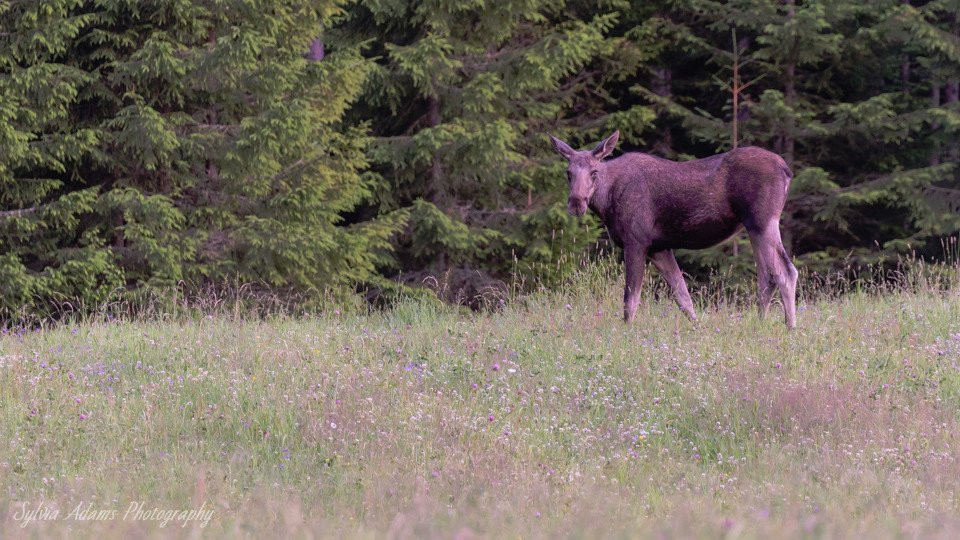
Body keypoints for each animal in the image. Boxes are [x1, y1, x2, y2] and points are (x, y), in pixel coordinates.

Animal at [552, 131, 800, 330]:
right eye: (568, 172)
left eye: (594, 172)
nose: (576, 203)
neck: (606, 202)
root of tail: (786, 170)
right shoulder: (659, 248)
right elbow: (683, 296)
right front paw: (699, 329)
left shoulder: (636, 241)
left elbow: (630, 300)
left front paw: (627, 333)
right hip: (753, 227)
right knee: (767, 276)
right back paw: (760, 325)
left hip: (763, 221)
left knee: (786, 272)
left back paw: (790, 328)